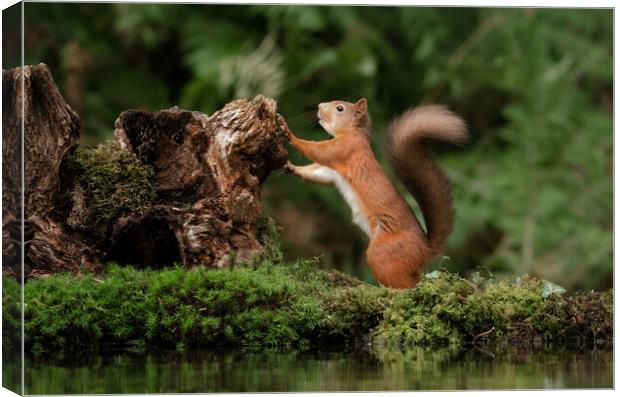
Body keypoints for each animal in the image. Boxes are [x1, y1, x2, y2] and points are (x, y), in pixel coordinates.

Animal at [278, 99, 468, 290]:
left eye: (340, 108)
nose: (319, 106)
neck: (353, 132)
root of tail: (425, 249)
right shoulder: (332, 171)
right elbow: (318, 173)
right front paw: (290, 167)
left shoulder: (345, 149)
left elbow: (317, 150)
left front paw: (288, 132)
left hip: (383, 253)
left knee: (404, 284)